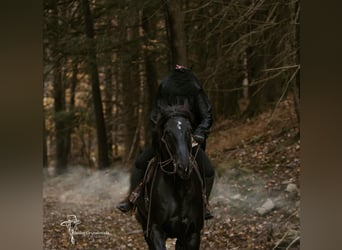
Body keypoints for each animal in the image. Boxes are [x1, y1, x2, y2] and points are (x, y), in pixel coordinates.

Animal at [135, 104, 206, 249]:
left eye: (189, 130)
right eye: (167, 132)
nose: (183, 167)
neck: (178, 188)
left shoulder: (193, 234)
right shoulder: (155, 230)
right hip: (145, 225)